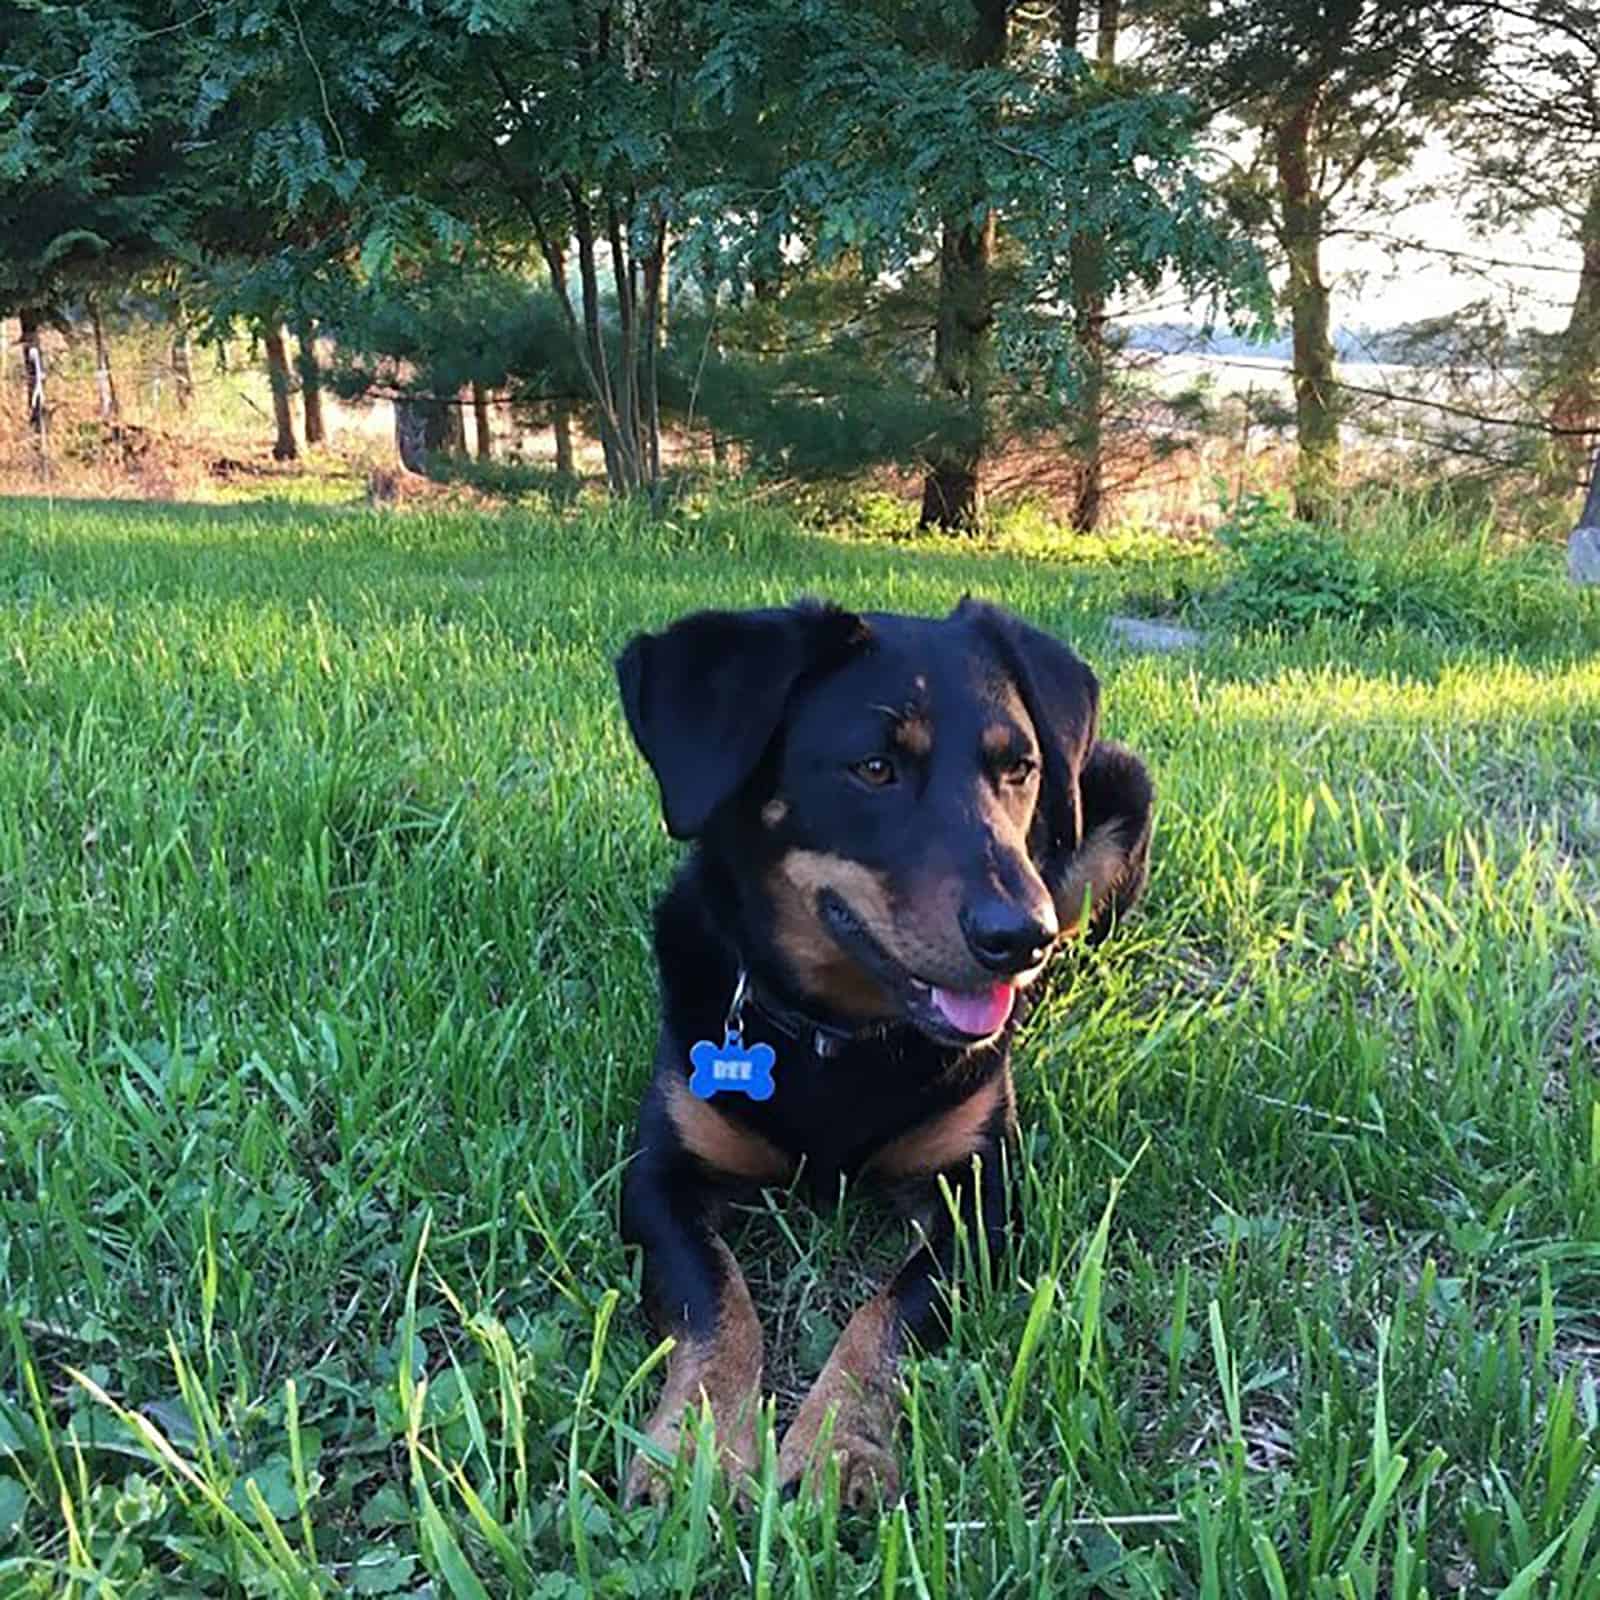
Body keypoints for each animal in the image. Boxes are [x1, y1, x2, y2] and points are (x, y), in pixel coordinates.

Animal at [611, 601, 1152, 1510]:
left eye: (1020, 768)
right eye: (873, 769)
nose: (1021, 938)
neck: (842, 1036)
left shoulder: (981, 1197)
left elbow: (883, 1317)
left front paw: (841, 1444)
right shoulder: (658, 1179)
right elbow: (718, 1300)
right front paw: (697, 1441)